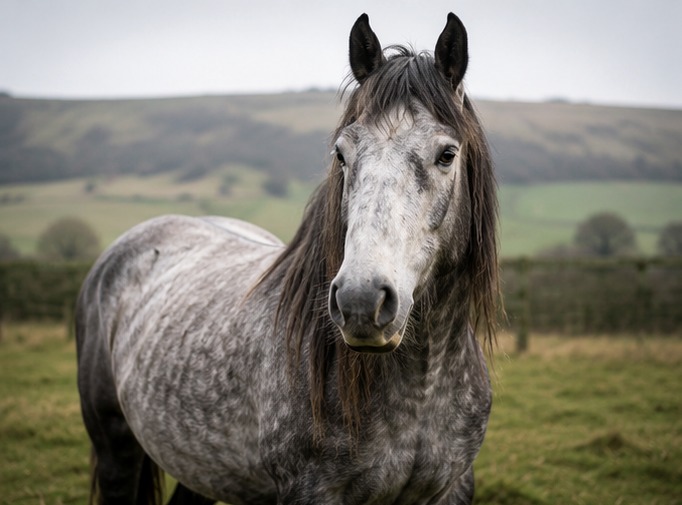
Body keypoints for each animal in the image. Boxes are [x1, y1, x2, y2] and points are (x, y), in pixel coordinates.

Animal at [76, 12, 499, 505]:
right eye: (342, 154)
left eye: (447, 154)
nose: (360, 302)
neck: (422, 386)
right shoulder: (311, 490)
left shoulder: (453, 486)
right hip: (115, 448)